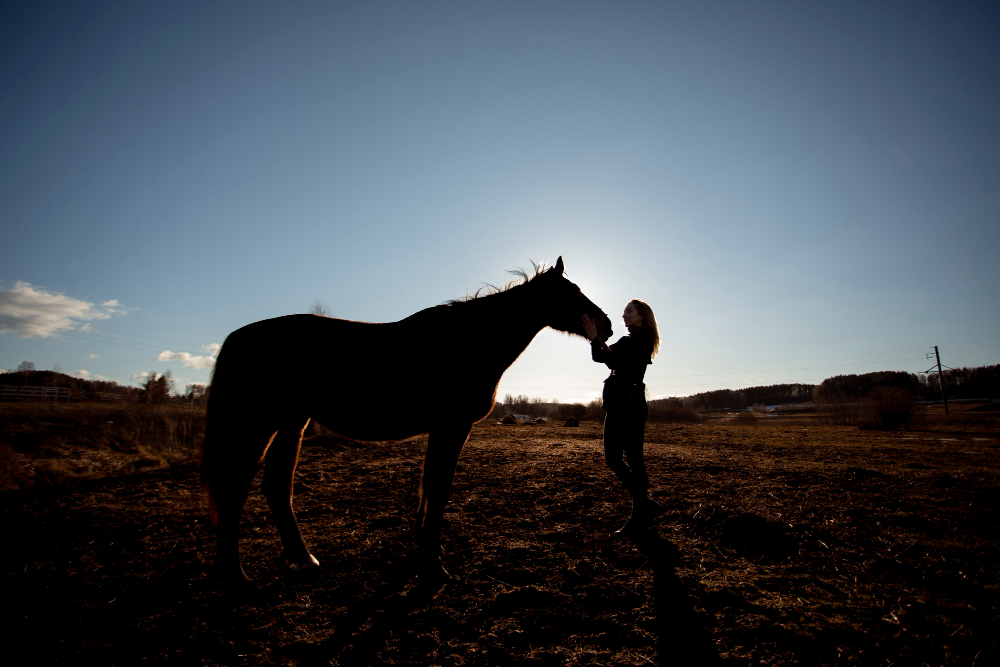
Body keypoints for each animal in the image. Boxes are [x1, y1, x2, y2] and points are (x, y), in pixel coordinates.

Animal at [201, 258, 608, 588]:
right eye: (571, 293)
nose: (605, 325)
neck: (469, 341)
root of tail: (240, 337)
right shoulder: (451, 426)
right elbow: (438, 488)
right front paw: (433, 567)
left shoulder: (443, 430)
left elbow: (429, 487)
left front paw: (427, 555)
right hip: (260, 425)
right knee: (234, 488)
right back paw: (235, 575)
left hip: (291, 423)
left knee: (275, 487)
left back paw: (302, 561)